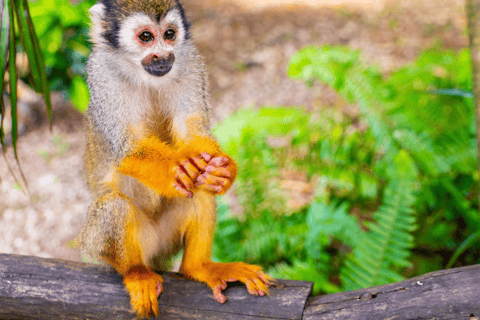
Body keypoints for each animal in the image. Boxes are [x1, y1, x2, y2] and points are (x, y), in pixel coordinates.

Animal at [79, 0, 270, 316]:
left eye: (169, 34)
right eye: (146, 37)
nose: (163, 55)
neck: (141, 73)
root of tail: (156, 257)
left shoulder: (190, 62)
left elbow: (194, 133)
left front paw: (225, 171)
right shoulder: (102, 76)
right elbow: (130, 148)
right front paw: (175, 169)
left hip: (166, 239)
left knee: (201, 188)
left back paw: (198, 267)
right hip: (101, 245)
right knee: (114, 206)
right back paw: (135, 272)